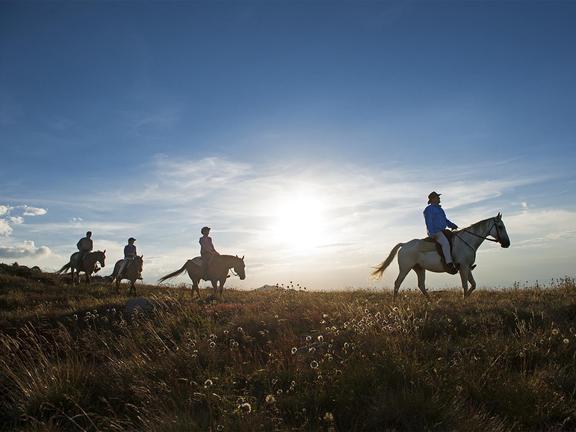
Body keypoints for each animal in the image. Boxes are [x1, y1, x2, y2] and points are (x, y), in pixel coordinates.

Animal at [372, 213, 510, 300]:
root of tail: (404, 244)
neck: (467, 241)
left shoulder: (467, 268)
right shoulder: (463, 267)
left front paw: (466, 298)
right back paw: (395, 302)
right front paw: (464, 300)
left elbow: (473, 285)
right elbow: (465, 285)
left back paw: (430, 301)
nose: (507, 243)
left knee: (421, 285)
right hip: (405, 268)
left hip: (419, 269)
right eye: (500, 226)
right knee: (397, 283)